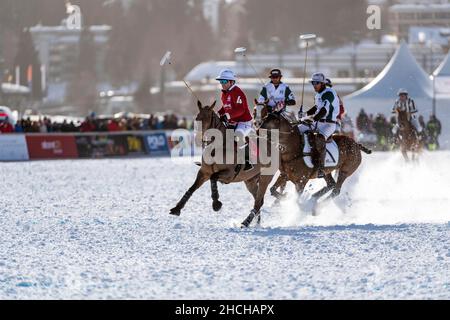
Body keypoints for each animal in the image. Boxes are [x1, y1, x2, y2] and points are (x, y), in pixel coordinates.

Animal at [169, 101, 274, 229]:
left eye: (208, 118)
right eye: (197, 118)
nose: (198, 138)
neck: (216, 147)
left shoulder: (229, 174)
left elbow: (213, 179)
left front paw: (216, 204)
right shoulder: (204, 172)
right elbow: (192, 188)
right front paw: (176, 209)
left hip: (265, 178)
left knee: (258, 201)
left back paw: (246, 222)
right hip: (250, 180)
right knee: (258, 200)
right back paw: (255, 223)